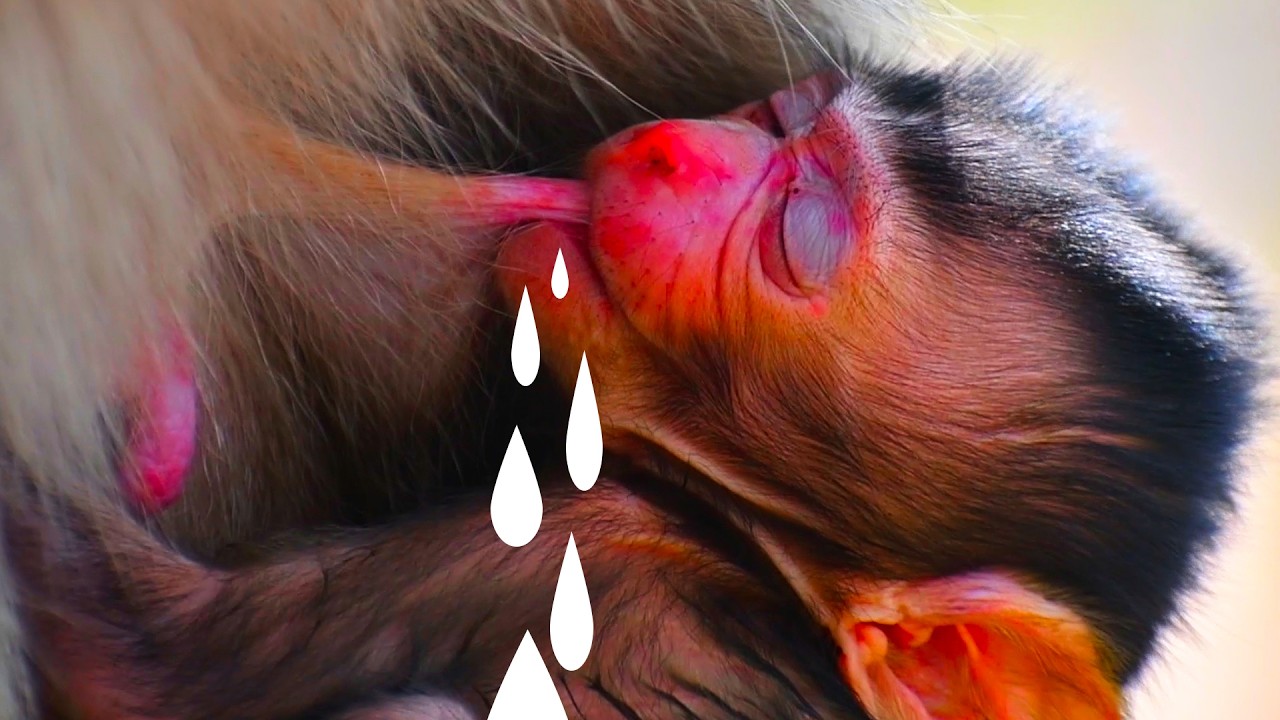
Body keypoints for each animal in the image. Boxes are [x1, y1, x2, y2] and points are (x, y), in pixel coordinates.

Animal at [7, 56, 1263, 719]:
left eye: (797, 235)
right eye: (782, 116)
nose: (672, 146)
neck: (742, 549)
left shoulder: (581, 554)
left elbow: (140, 663)